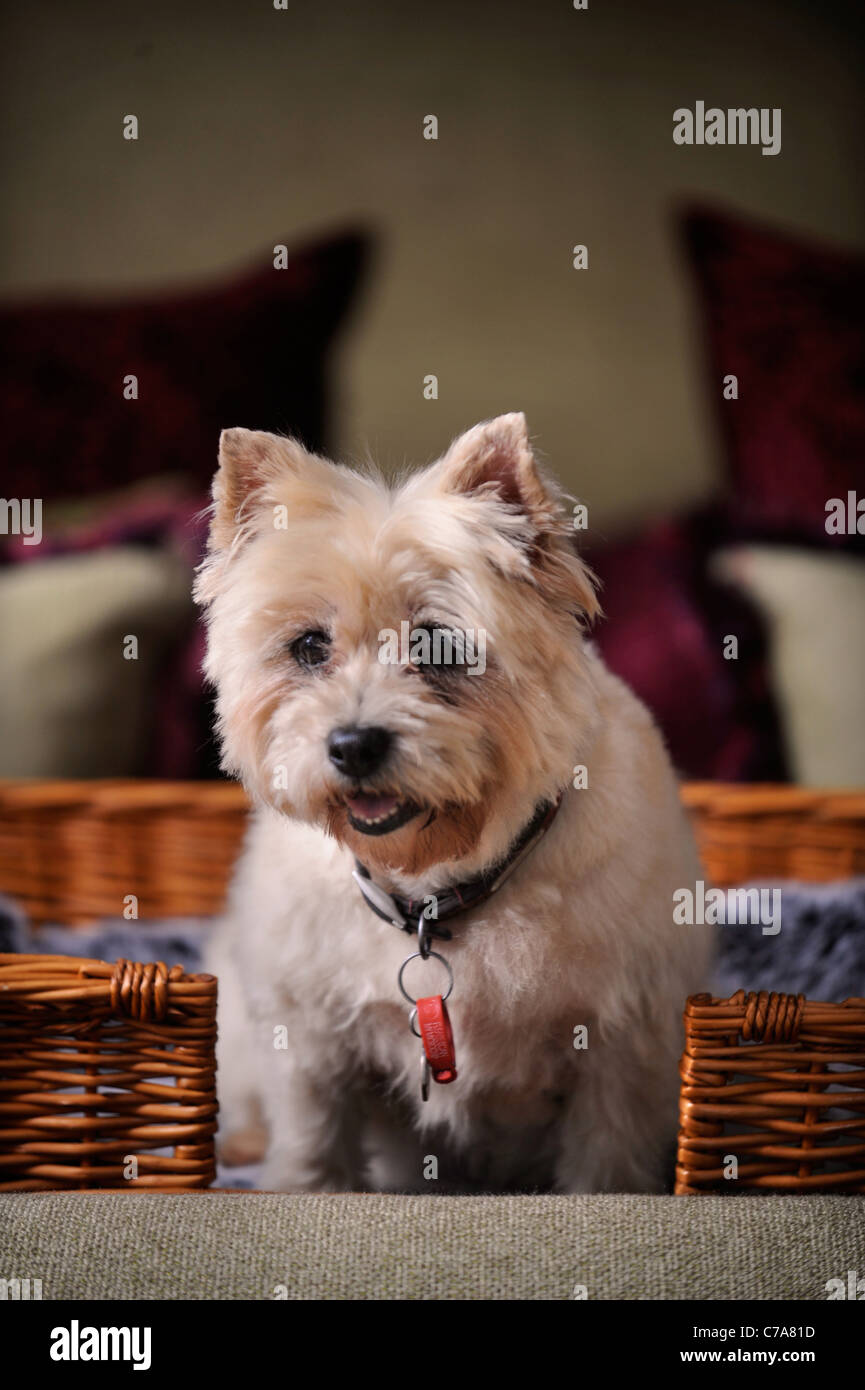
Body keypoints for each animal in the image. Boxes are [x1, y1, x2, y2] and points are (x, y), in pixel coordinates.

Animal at [196, 411, 712, 1195]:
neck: (436, 889)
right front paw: (304, 1188)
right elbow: (315, 1142)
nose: (353, 744)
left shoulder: (624, 1046)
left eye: (438, 644)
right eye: (309, 646)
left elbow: (605, 1163)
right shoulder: (309, 1039)